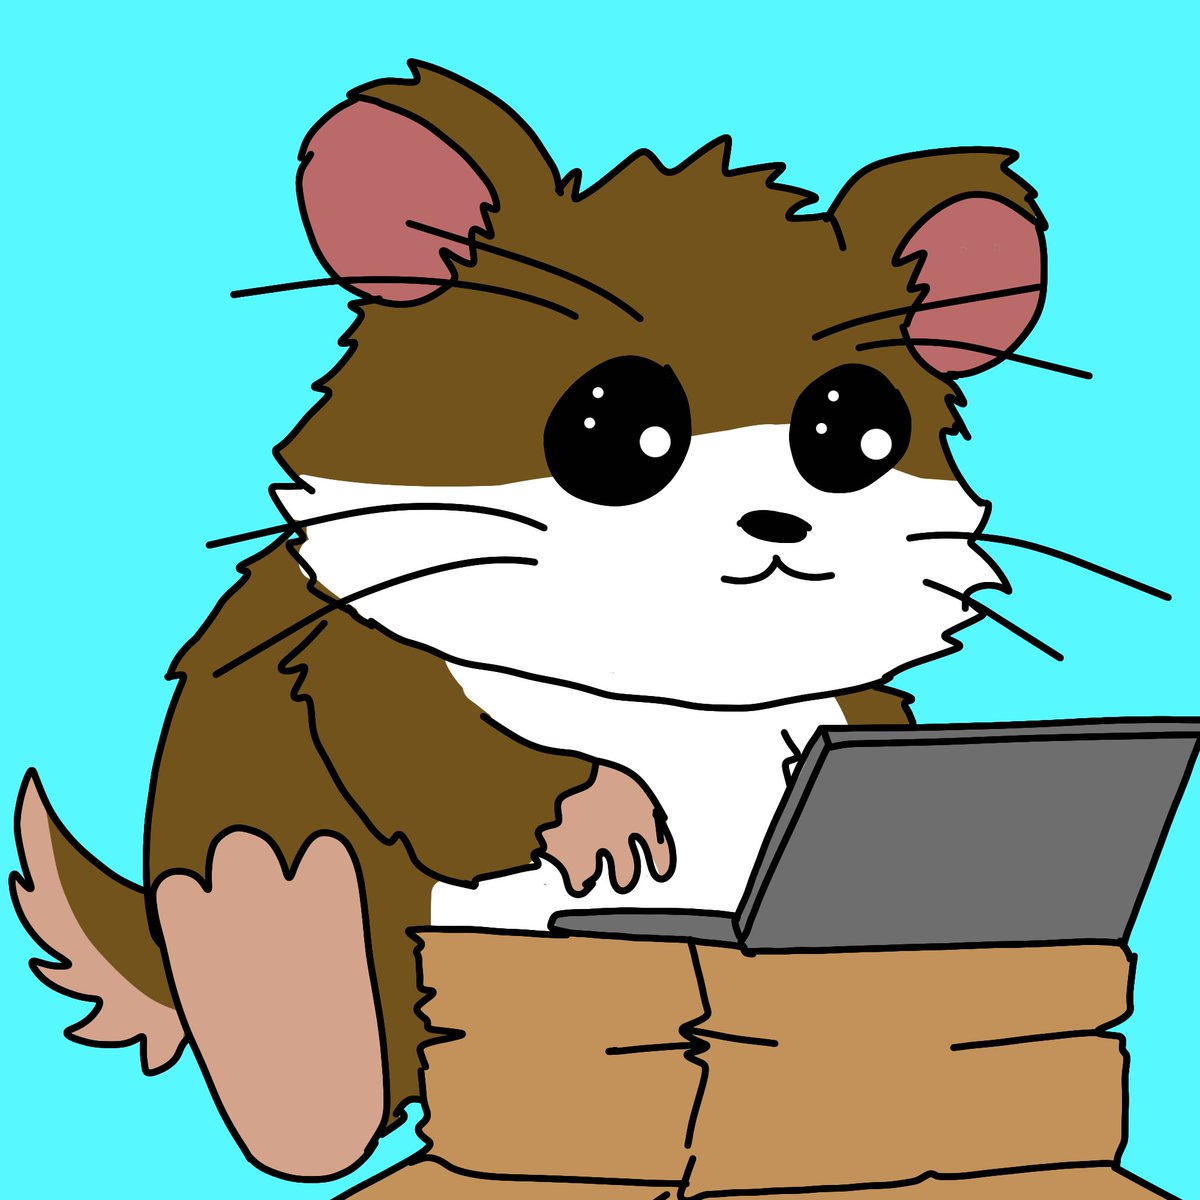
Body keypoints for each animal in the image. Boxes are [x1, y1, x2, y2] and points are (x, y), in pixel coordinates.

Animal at [13, 61, 1051, 1181]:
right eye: (614, 424)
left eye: (856, 430)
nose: (779, 523)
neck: (667, 692)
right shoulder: (365, 657)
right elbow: (416, 746)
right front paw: (603, 812)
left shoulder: (837, 723)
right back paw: (279, 940)